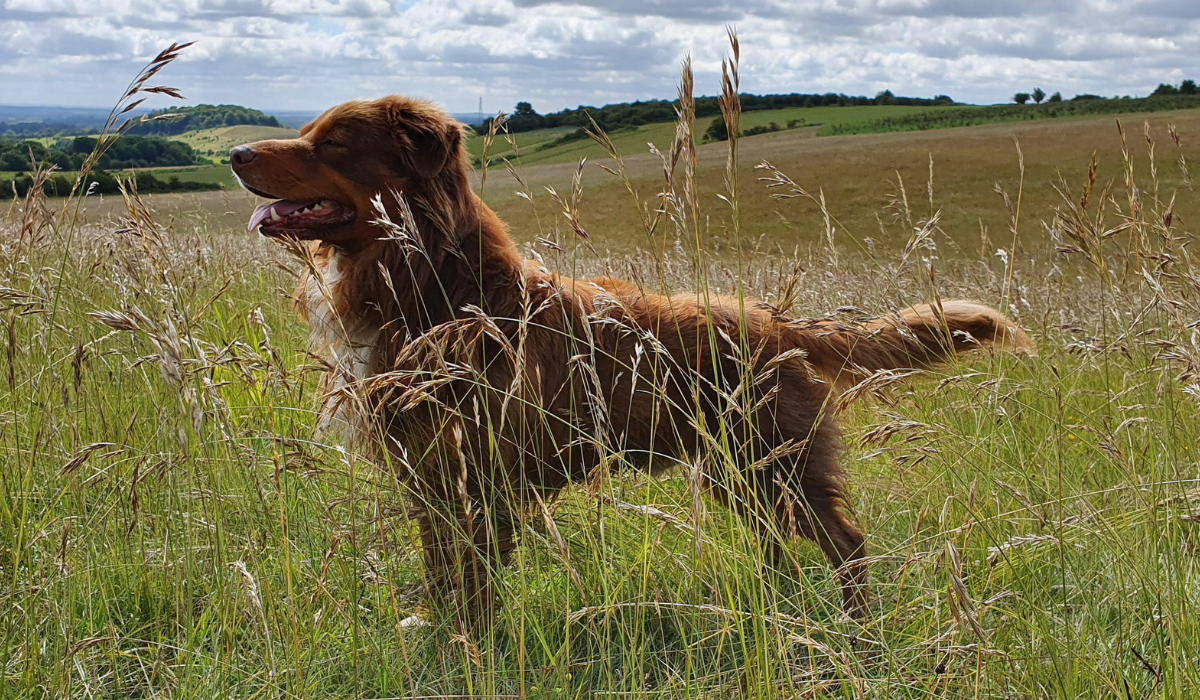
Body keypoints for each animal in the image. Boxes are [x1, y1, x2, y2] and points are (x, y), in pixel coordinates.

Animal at [229, 96, 1036, 619]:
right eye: (305, 131)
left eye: (333, 143)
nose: (236, 154)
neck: (437, 285)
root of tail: (774, 322)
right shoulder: (430, 474)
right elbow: (443, 574)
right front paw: (440, 634)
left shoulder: (479, 476)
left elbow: (474, 584)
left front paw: (469, 647)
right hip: (740, 472)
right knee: (782, 542)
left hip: (775, 463)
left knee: (849, 544)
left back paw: (856, 632)